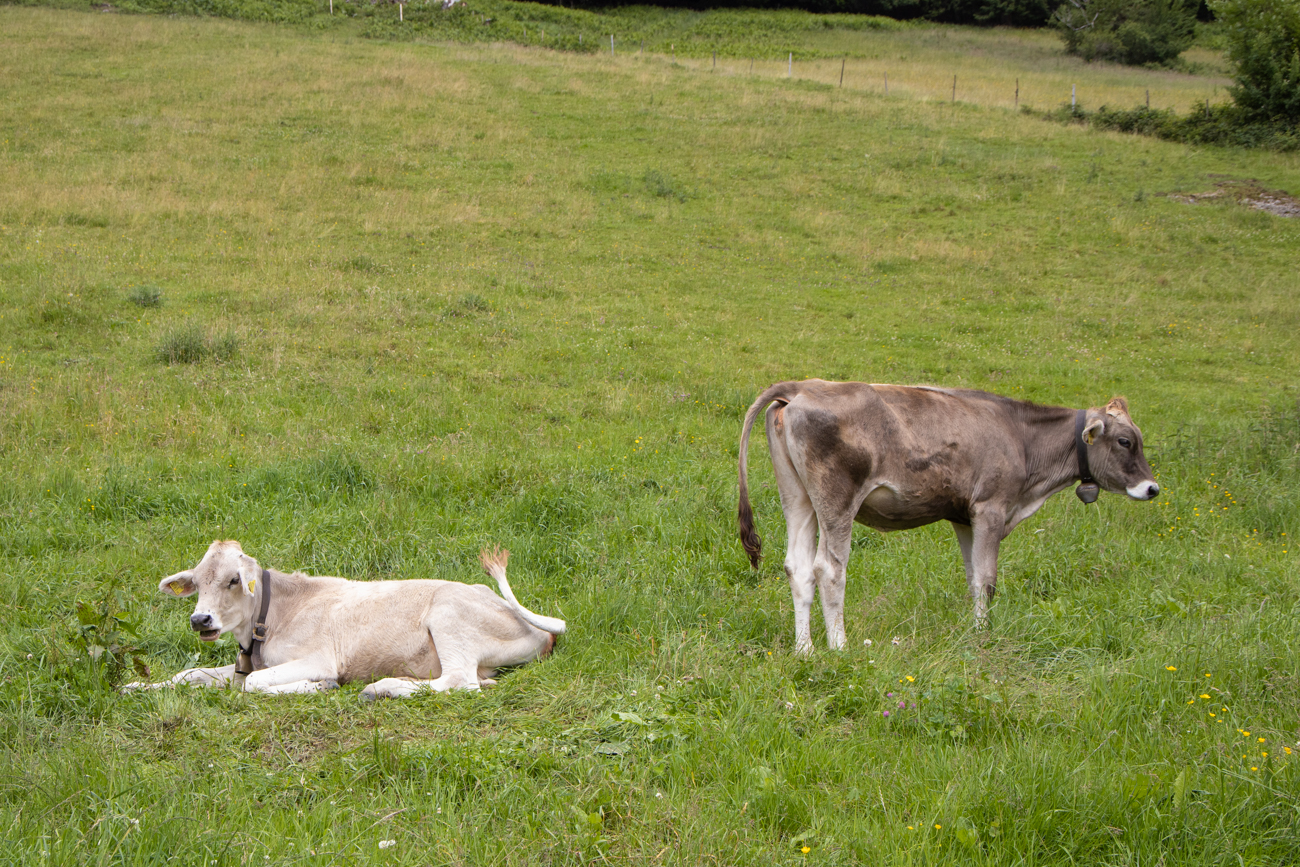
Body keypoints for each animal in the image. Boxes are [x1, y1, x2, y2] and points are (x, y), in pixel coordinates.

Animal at [124, 543, 566, 696]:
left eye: (234, 579)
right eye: (198, 582)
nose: (201, 619)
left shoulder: (317, 658)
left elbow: (254, 684)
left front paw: (319, 687)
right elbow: (191, 674)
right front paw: (138, 685)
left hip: (448, 614)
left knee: (460, 680)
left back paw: (383, 687)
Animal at [743, 379, 1159, 649]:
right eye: (1125, 441)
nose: (1152, 488)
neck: (1021, 436)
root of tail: (802, 386)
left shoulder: (963, 517)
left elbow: (973, 578)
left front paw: (975, 630)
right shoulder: (991, 507)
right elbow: (987, 580)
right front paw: (983, 636)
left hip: (798, 497)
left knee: (797, 567)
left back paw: (805, 649)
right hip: (837, 499)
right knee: (828, 570)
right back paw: (839, 647)